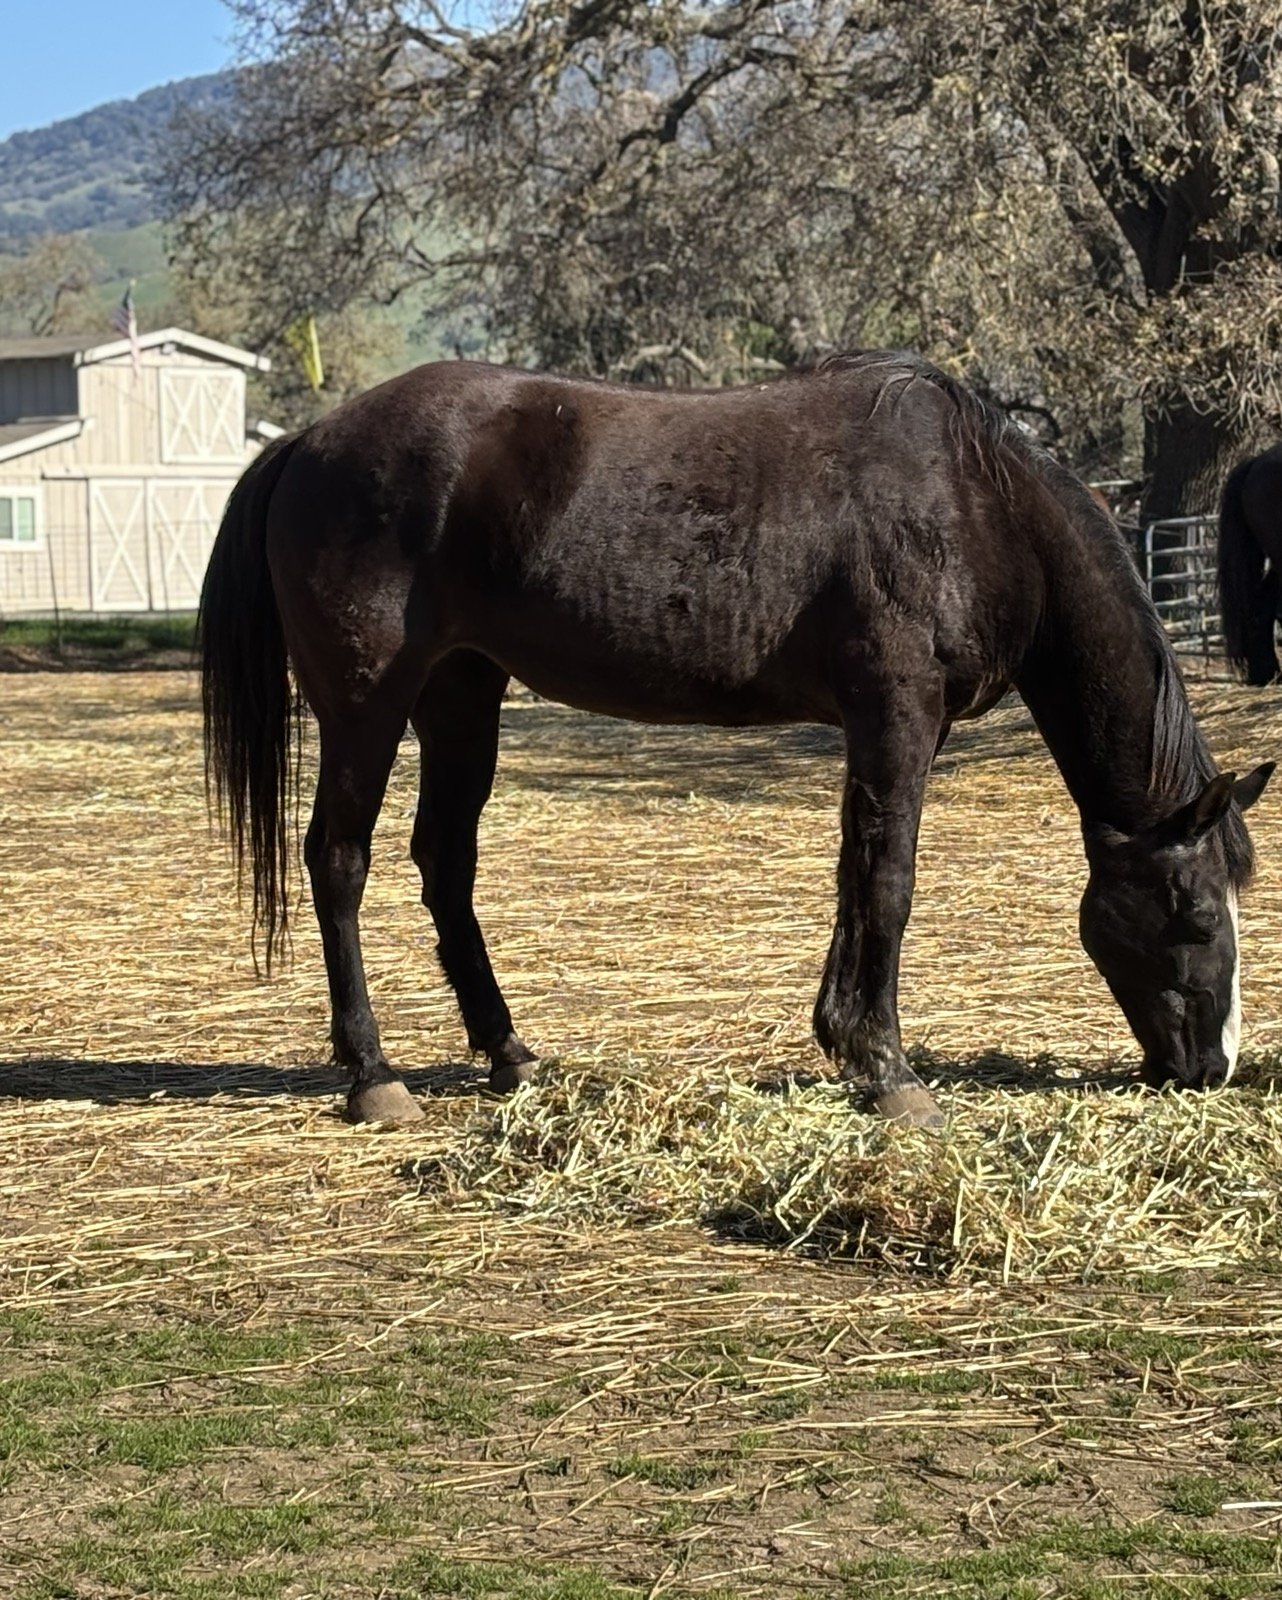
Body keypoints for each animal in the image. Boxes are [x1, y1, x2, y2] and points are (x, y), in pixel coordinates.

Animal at [199, 351, 1273, 1128]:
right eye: (1194, 914)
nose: (1211, 1068)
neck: (975, 502)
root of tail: (312, 439)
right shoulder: (897, 714)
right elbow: (889, 883)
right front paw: (890, 1073)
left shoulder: (885, 731)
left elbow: (856, 876)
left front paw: (846, 1044)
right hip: (366, 705)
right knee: (339, 860)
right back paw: (373, 1075)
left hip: (461, 694)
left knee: (445, 862)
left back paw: (508, 1052)